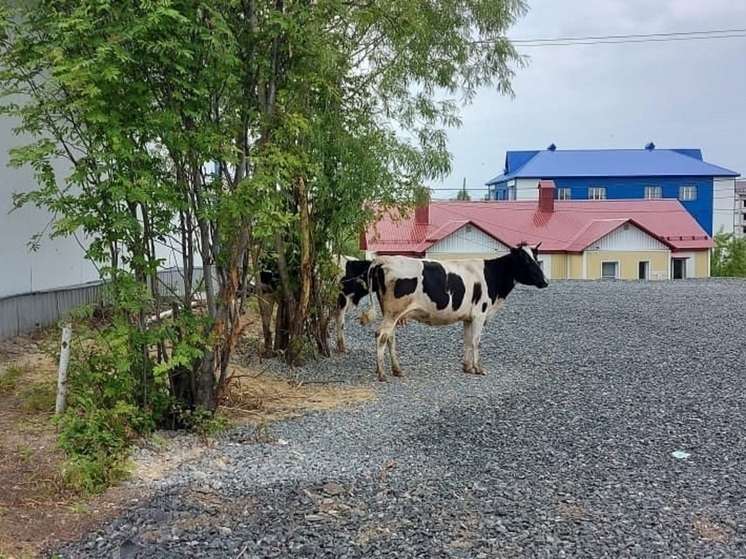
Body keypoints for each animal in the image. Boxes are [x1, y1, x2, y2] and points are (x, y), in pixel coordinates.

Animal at [358, 246, 548, 384]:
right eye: (526, 262)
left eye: (537, 259)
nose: (545, 282)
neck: (491, 275)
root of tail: (383, 259)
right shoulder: (480, 313)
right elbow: (476, 341)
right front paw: (478, 368)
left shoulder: (468, 317)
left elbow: (467, 340)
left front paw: (467, 367)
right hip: (393, 312)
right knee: (381, 335)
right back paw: (383, 374)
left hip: (391, 313)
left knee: (390, 337)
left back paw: (396, 370)